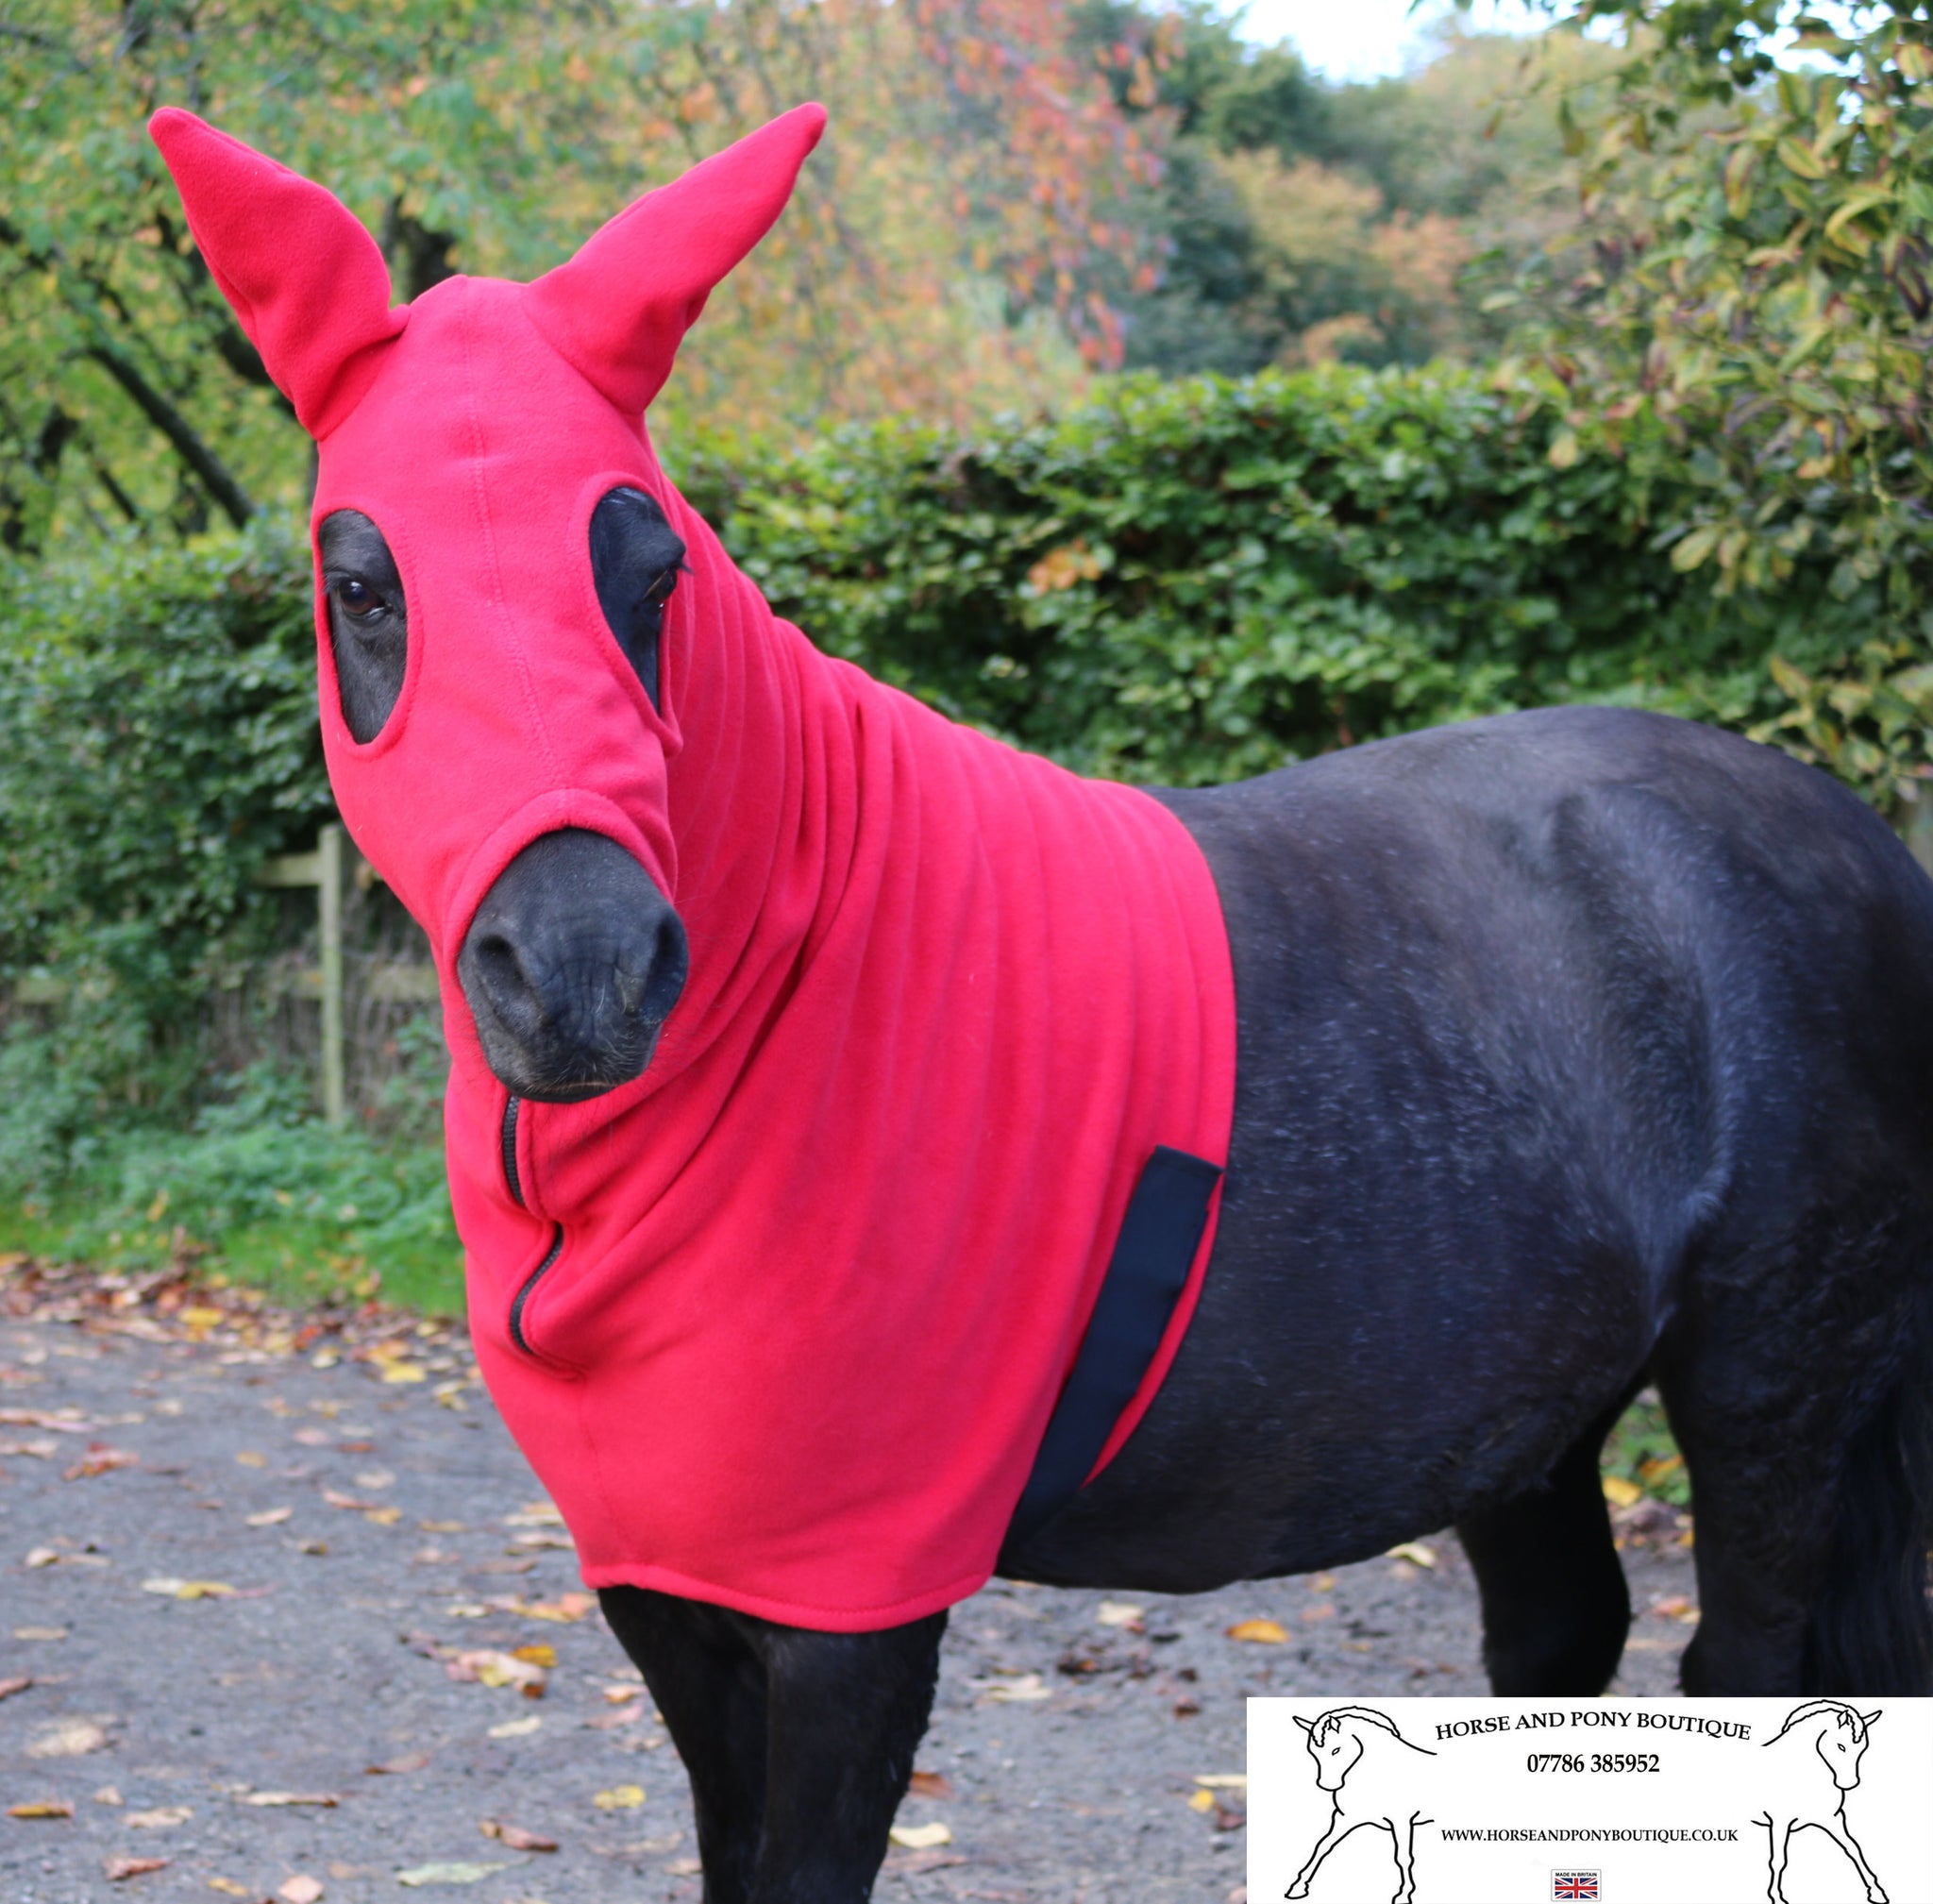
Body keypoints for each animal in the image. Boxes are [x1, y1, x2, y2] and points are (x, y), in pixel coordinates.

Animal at [1287, 1707, 1435, 1904]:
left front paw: (1403, 1895)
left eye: (1336, 1750)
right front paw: (1298, 1887)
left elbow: (1403, 1857)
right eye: (1312, 1752)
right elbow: (1323, 1845)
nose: (1327, 1785)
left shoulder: (1402, 1820)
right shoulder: (1344, 1818)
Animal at [1756, 1701, 1889, 1904]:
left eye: (1863, 1748)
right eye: (1841, 1746)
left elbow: (1853, 1848)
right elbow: (1778, 1861)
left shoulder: (1832, 1818)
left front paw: (1876, 1892)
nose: (1849, 1783)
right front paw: (1777, 1898)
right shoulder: (1779, 1822)